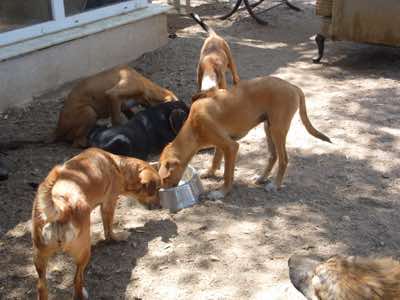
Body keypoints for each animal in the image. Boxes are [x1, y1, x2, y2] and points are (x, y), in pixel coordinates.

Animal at [30, 148, 161, 300]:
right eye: (157, 189)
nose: (160, 206)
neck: (118, 166)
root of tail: (61, 207)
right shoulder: (109, 204)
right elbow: (109, 229)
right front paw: (116, 238)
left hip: (39, 257)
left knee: (41, 287)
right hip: (83, 253)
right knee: (77, 279)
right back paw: (81, 294)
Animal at [159, 77, 332, 199]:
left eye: (165, 179)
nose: (161, 193)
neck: (194, 127)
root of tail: (292, 86)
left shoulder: (231, 146)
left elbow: (228, 174)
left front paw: (221, 193)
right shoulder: (221, 144)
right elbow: (215, 160)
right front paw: (209, 173)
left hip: (278, 129)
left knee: (283, 159)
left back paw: (274, 185)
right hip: (268, 127)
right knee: (273, 155)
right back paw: (262, 178)